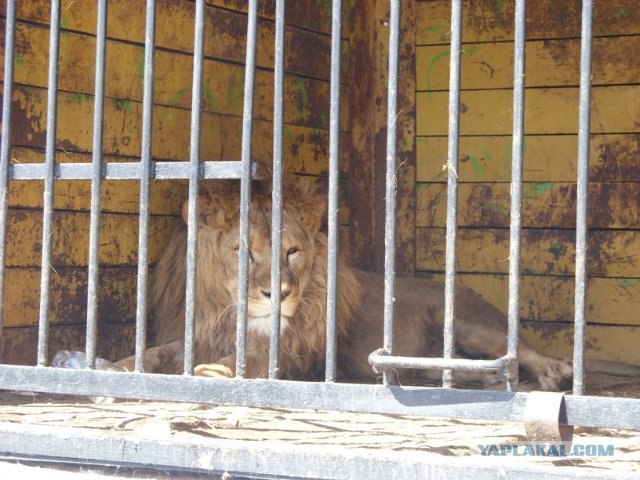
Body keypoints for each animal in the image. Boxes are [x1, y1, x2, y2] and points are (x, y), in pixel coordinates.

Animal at [105, 175, 584, 390]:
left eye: (292, 252)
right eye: (245, 251)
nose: (279, 294)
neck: (229, 314)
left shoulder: (293, 353)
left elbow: (253, 360)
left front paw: (217, 370)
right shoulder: (194, 334)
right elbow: (155, 354)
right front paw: (113, 366)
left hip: (466, 322)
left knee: (517, 350)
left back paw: (555, 372)